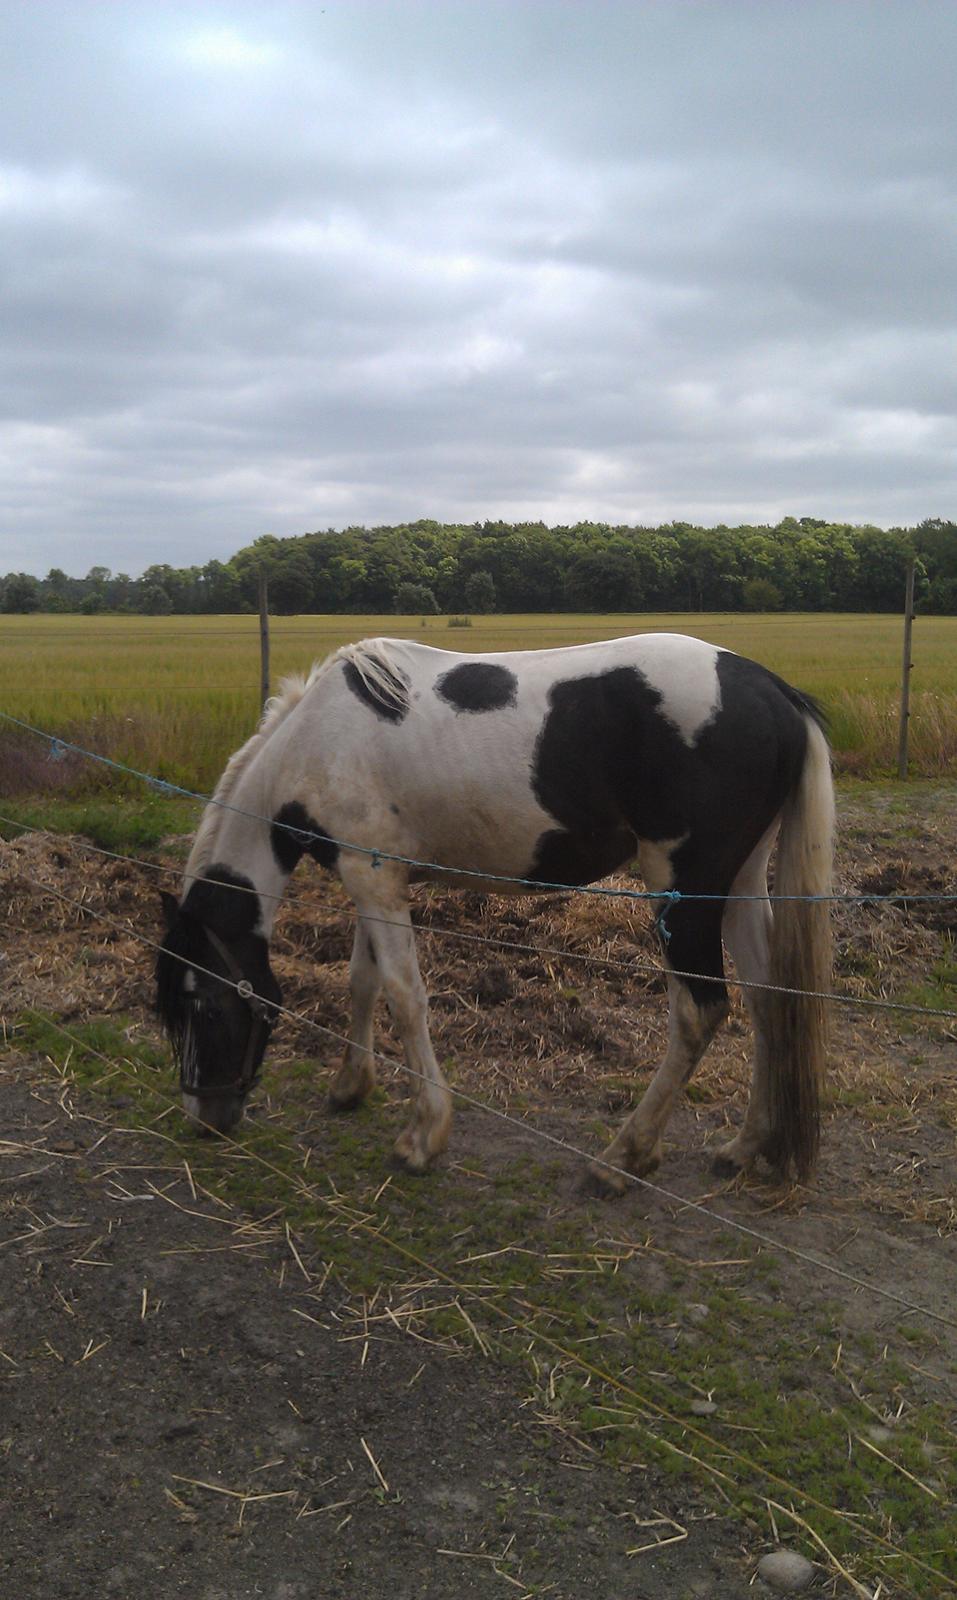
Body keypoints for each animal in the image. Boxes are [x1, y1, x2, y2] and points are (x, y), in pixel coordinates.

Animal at [153, 630, 838, 1196]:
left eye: (202, 1003)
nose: (205, 1118)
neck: (319, 739)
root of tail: (774, 692)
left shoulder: (372, 878)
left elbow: (404, 996)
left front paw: (424, 1137)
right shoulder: (369, 880)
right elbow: (363, 981)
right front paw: (350, 1086)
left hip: (683, 889)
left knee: (700, 1012)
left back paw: (622, 1159)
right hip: (740, 884)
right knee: (769, 999)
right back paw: (743, 1147)